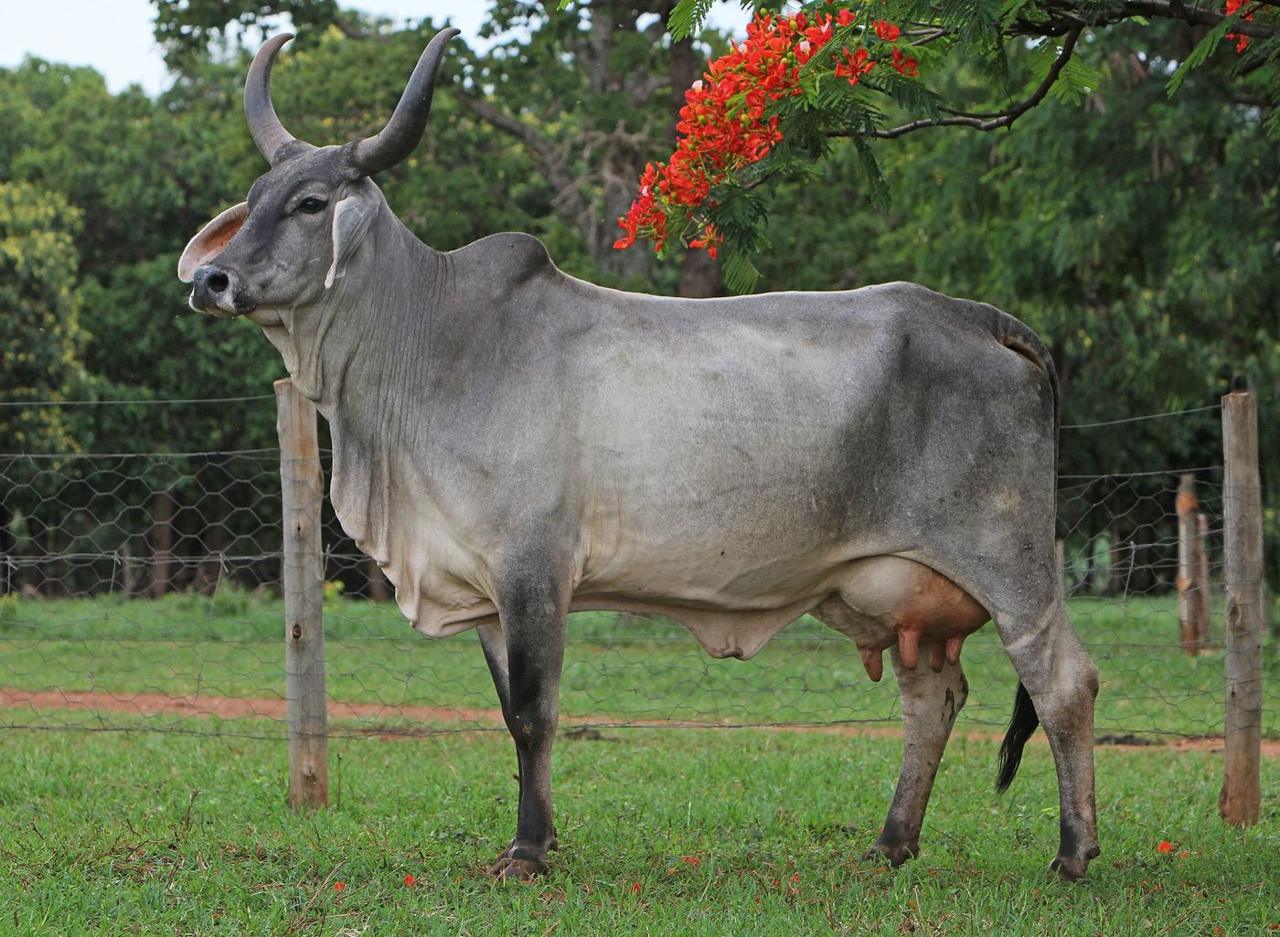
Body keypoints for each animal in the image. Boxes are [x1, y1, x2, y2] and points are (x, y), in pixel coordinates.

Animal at [179, 30, 1100, 881]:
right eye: (253, 198)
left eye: (309, 202)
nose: (210, 281)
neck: (435, 342)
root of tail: (977, 317)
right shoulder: (484, 583)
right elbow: (509, 710)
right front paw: (541, 836)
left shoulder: (535, 568)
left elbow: (534, 713)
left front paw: (528, 850)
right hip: (899, 587)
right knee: (932, 698)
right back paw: (891, 843)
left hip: (1009, 558)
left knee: (1063, 682)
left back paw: (1071, 852)